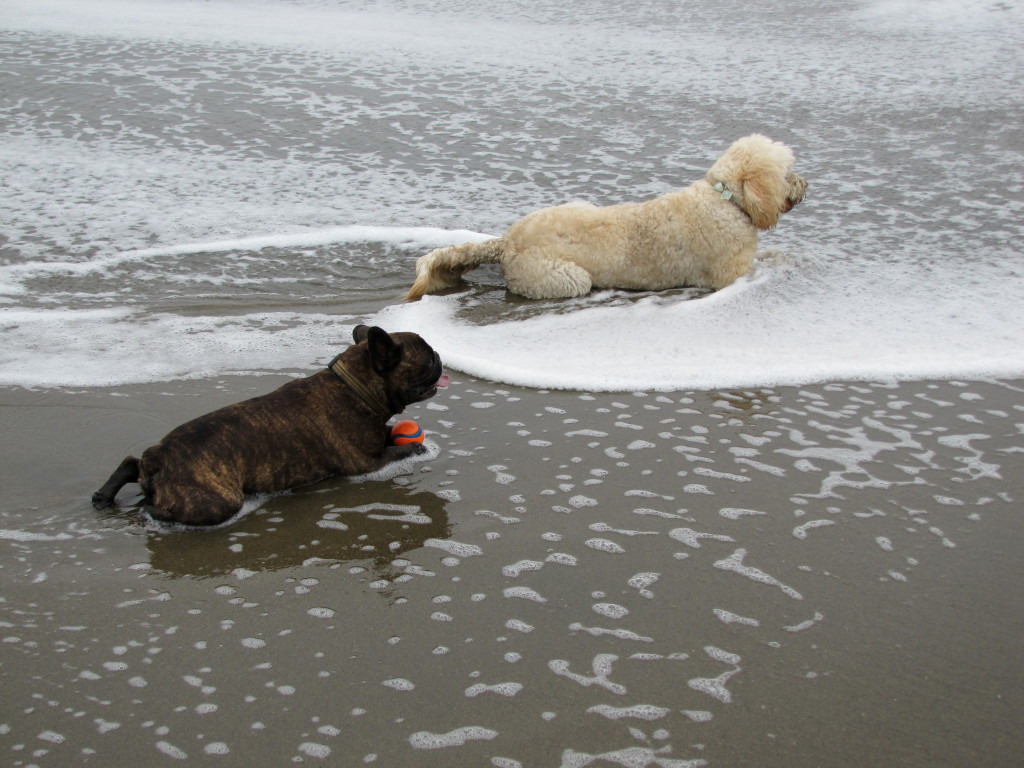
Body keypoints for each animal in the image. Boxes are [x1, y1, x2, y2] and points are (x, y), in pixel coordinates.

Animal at [92, 325, 448, 528]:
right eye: (428, 359)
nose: (440, 354)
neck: (355, 386)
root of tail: (158, 457)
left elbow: (390, 434)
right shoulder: (365, 463)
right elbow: (404, 448)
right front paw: (417, 447)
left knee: (130, 463)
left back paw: (103, 494)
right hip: (216, 502)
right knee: (159, 506)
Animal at [407, 134, 806, 303]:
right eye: (789, 171)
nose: (806, 185)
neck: (726, 201)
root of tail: (507, 242)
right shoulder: (728, 275)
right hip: (566, 277)